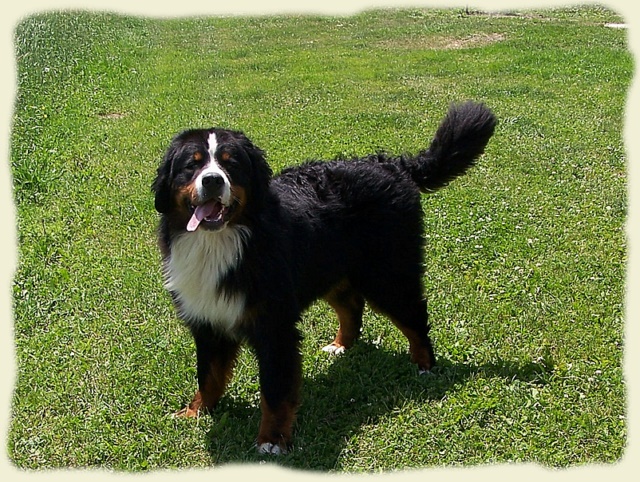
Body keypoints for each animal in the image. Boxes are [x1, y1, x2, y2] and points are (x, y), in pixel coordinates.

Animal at [152, 100, 498, 454]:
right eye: (191, 166)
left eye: (230, 163)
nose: (212, 181)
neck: (221, 241)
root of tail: (391, 164)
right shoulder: (207, 318)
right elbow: (208, 374)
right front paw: (195, 411)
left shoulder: (275, 328)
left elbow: (274, 391)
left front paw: (272, 439)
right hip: (333, 269)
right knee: (352, 306)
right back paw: (342, 344)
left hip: (386, 274)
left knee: (414, 316)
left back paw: (424, 365)